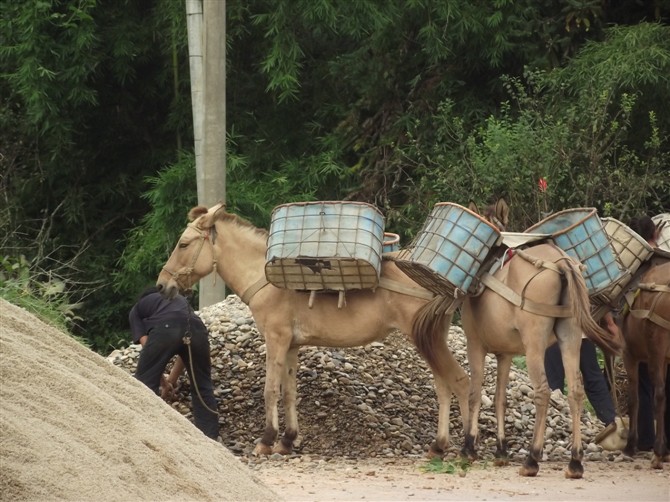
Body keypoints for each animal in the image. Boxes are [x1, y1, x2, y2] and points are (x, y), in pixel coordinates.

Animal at [156, 203, 472, 454]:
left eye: (183, 244)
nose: (161, 285)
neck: (265, 279)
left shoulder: (276, 340)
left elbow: (270, 390)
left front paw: (266, 440)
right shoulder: (292, 346)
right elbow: (289, 392)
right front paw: (287, 440)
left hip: (427, 341)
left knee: (459, 381)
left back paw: (468, 446)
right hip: (430, 340)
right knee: (445, 386)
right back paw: (439, 445)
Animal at [414, 200, 624, 478]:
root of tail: (562, 263)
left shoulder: (475, 345)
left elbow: (474, 392)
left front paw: (468, 448)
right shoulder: (505, 354)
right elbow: (500, 398)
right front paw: (501, 450)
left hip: (535, 345)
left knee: (543, 392)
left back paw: (532, 458)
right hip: (570, 338)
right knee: (576, 391)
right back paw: (575, 462)